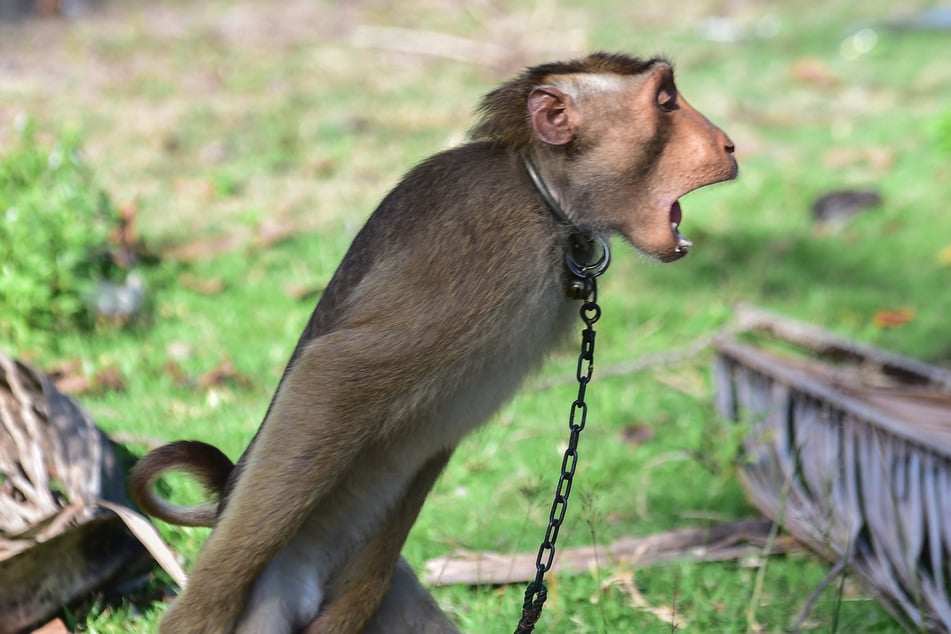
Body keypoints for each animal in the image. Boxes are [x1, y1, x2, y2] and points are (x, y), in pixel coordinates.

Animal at [128, 50, 736, 632]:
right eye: (666, 102)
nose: (729, 144)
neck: (545, 201)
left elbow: (437, 434)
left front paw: (349, 611)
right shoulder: (485, 240)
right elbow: (333, 375)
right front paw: (199, 614)